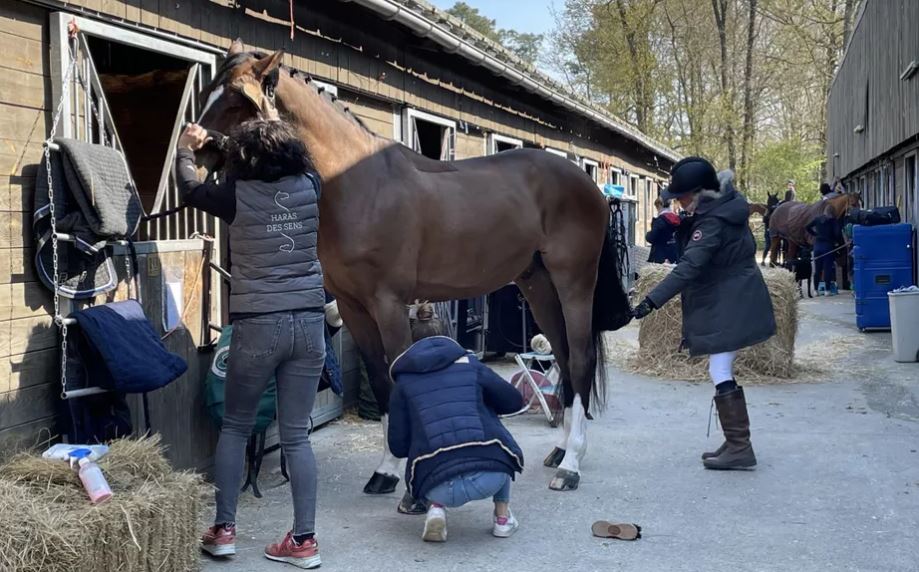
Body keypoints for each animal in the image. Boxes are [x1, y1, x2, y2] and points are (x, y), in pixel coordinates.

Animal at [197, 42, 636, 502]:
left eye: (237, 100)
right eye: (209, 91)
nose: (200, 151)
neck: (358, 185)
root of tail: (589, 188)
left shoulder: (389, 304)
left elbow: (398, 373)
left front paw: (406, 477)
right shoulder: (353, 308)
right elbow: (380, 378)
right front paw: (385, 471)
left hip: (574, 282)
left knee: (581, 357)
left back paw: (571, 466)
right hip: (538, 286)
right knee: (564, 356)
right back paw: (561, 450)